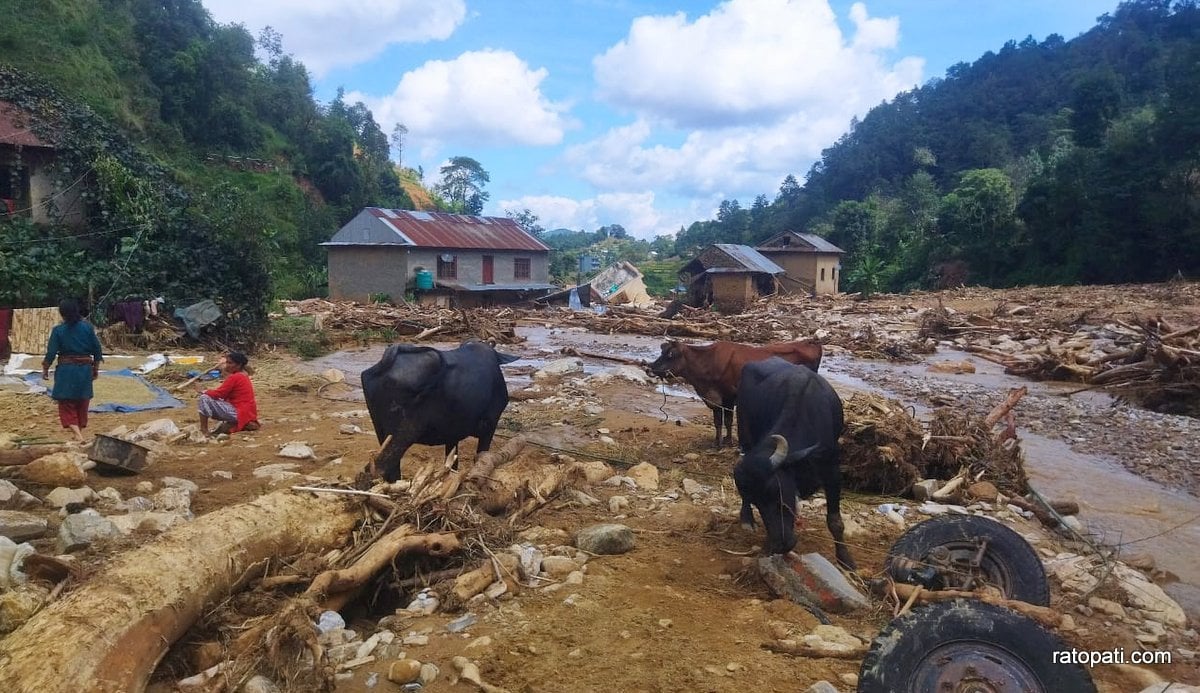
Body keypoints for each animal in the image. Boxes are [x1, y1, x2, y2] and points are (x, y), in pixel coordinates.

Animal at [362, 338, 518, 479]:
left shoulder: (453, 434)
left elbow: (452, 464)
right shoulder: (490, 424)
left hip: (382, 433)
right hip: (402, 435)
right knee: (385, 466)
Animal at [648, 338, 825, 446]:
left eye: (671, 354)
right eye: (662, 352)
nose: (651, 367)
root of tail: (811, 341)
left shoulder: (727, 396)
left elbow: (725, 420)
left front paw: (723, 443)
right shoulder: (717, 399)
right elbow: (720, 421)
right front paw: (722, 441)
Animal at [729, 354, 854, 565]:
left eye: (776, 491)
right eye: (757, 502)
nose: (781, 545)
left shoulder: (832, 470)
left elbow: (835, 521)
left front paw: (846, 560)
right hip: (744, 433)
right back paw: (747, 520)